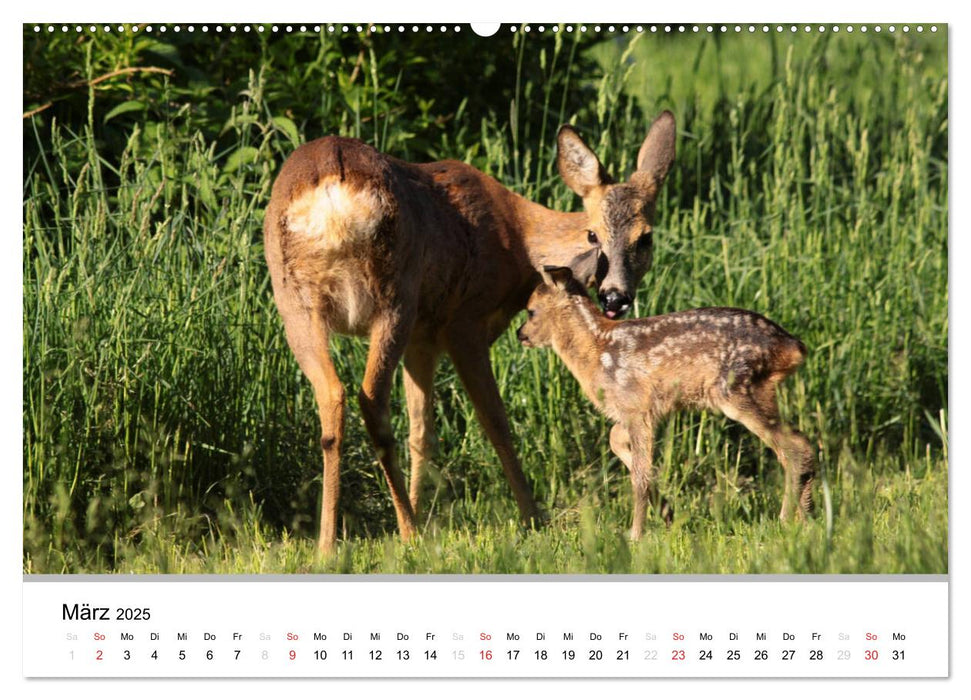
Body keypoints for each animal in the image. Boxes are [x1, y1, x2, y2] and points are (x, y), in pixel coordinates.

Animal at [262, 112, 680, 552]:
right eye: (592, 234)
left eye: (645, 238)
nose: (615, 296)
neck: (518, 240)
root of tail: (333, 190)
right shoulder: (464, 323)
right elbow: (496, 422)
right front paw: (533, 517)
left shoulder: (423, 337)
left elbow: (422, 432)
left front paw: (419, 507)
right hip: (396, 294)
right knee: (371, 400)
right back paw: (407, 532)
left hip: (296, 302)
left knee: (332, 397)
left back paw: (330, 543)